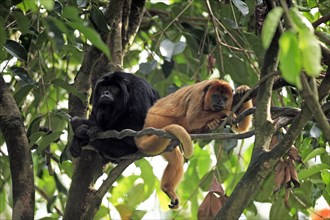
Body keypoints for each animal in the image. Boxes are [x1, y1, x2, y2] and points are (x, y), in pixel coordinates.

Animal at [134, 78, 253, 208]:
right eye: (215, 96)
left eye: (224, 98)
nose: (220, 103)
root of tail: (145, 126)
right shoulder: (198, 95)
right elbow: (193, 119)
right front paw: (226, 112)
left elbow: (242, 127)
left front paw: (242, 90)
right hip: (158, 121)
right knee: (183, 121)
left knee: (176, 160)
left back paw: (167, 189)